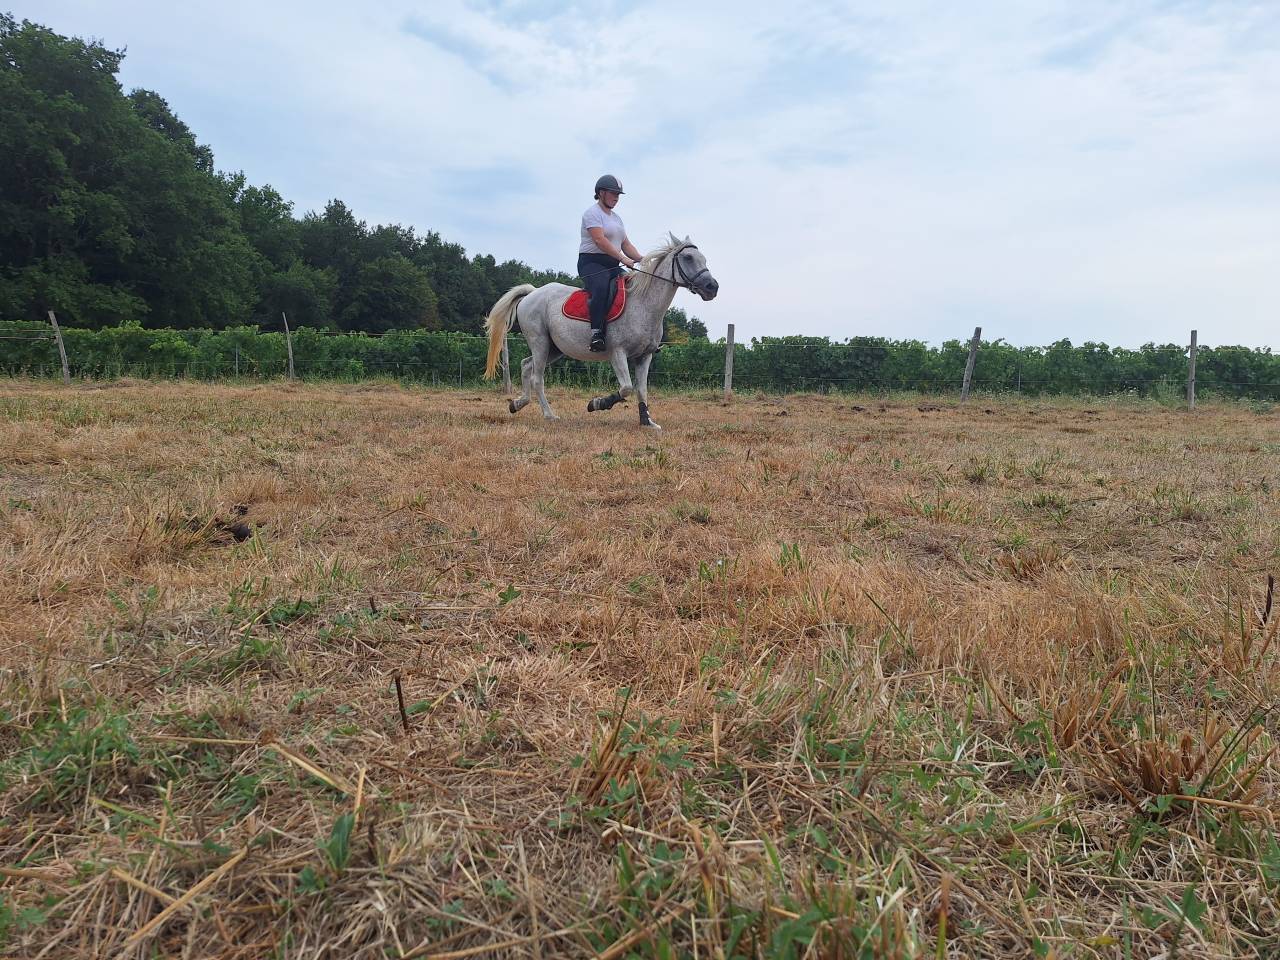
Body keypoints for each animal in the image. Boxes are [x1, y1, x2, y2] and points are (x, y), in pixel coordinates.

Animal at [482, 234, 718, 430]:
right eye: (688, 257)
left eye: (704, 258)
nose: (712, 287)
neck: (643, 304)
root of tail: (533, 292)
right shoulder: (618, 353)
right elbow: (626, 388)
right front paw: (596, 403)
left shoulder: (645, 356)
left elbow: (641, 390)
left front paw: (647, 421)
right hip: (540, 342)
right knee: (536, 378)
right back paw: (549, 415)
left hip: (554, 348)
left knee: (526, 365)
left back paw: (517, 403)